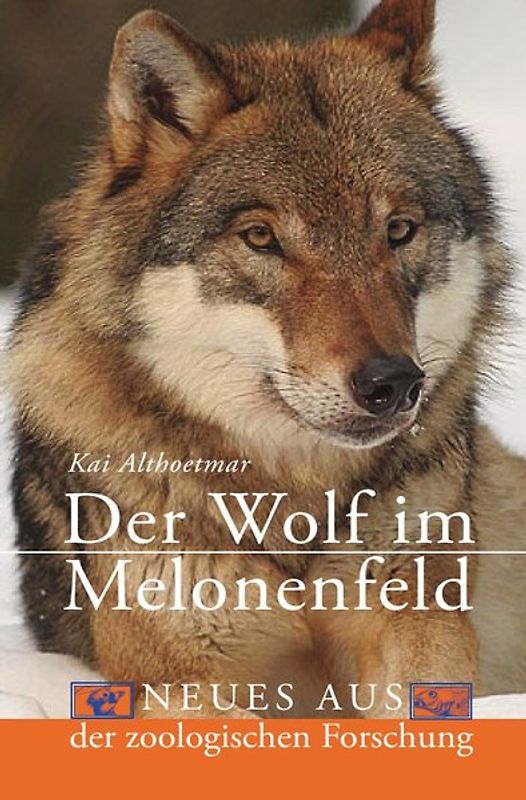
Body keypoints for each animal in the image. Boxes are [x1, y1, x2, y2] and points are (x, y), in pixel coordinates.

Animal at [8, 0, 526, 718]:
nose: (393, 383)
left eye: (399, 231)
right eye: (261, 237)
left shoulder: (417, 612)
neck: (292, 506)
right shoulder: (172, 676)